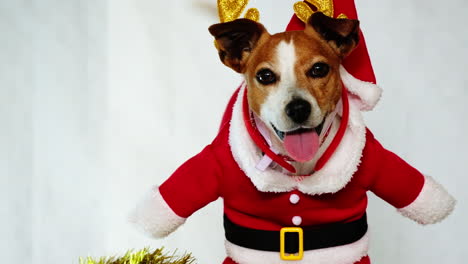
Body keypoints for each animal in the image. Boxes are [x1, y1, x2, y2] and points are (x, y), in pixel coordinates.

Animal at [131, 11, 454, 264]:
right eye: (265, 76)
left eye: (319, 69)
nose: (298, 108)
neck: (299, 167)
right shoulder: (218, 162)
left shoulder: (373, 158)